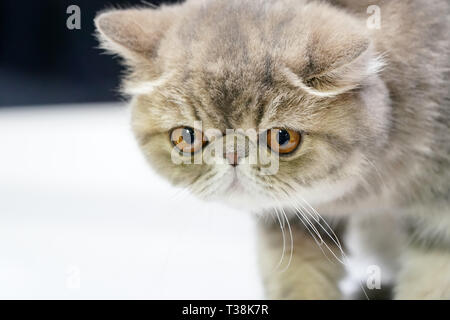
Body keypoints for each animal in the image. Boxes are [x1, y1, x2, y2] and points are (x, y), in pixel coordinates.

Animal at [95, 0, 450, 300]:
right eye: (186, 137)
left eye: (282, 138)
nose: (232, 154)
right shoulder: (294, 223)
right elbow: (299, 280)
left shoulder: (439, 226)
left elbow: (430, 285)